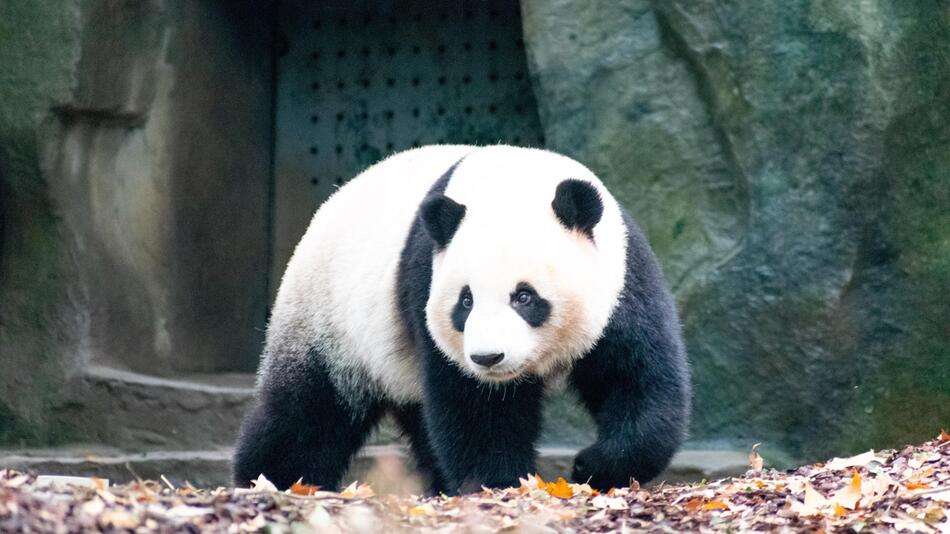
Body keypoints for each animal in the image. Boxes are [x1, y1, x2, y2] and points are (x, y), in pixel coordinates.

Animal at [232, 146, 692, 494]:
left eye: (524, 296)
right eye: (465, 301)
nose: (489, 357)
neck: (511, 182)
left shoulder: (623, 281)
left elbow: (638, 379)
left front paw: (592, 465)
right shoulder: (426, 283)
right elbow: (475, 407)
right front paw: (502, 484)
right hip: (329, 318)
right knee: (309, 411)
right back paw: (270, 479)